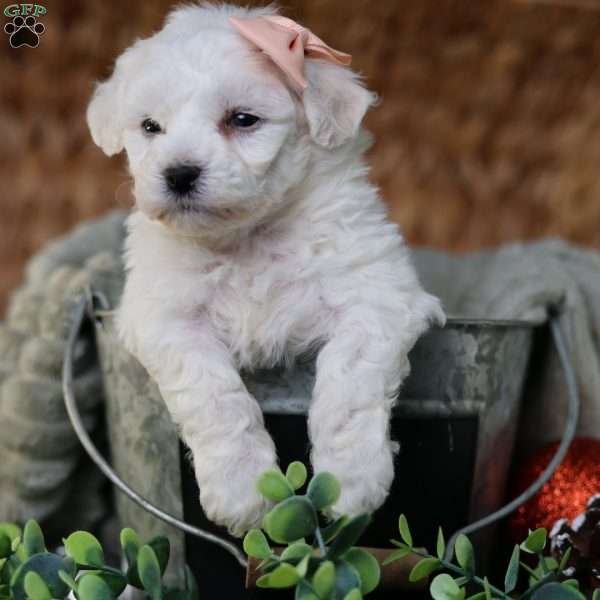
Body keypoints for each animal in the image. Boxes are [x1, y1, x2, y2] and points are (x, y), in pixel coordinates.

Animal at [88, 2, 446, 536]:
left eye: (242, 119)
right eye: (150, 127)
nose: (178, 173)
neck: (248, 238)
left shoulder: (376, 294)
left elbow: (350, 383)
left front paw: (351, 480)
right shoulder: (164, 316)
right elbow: (214, 394)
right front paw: (242, 488)